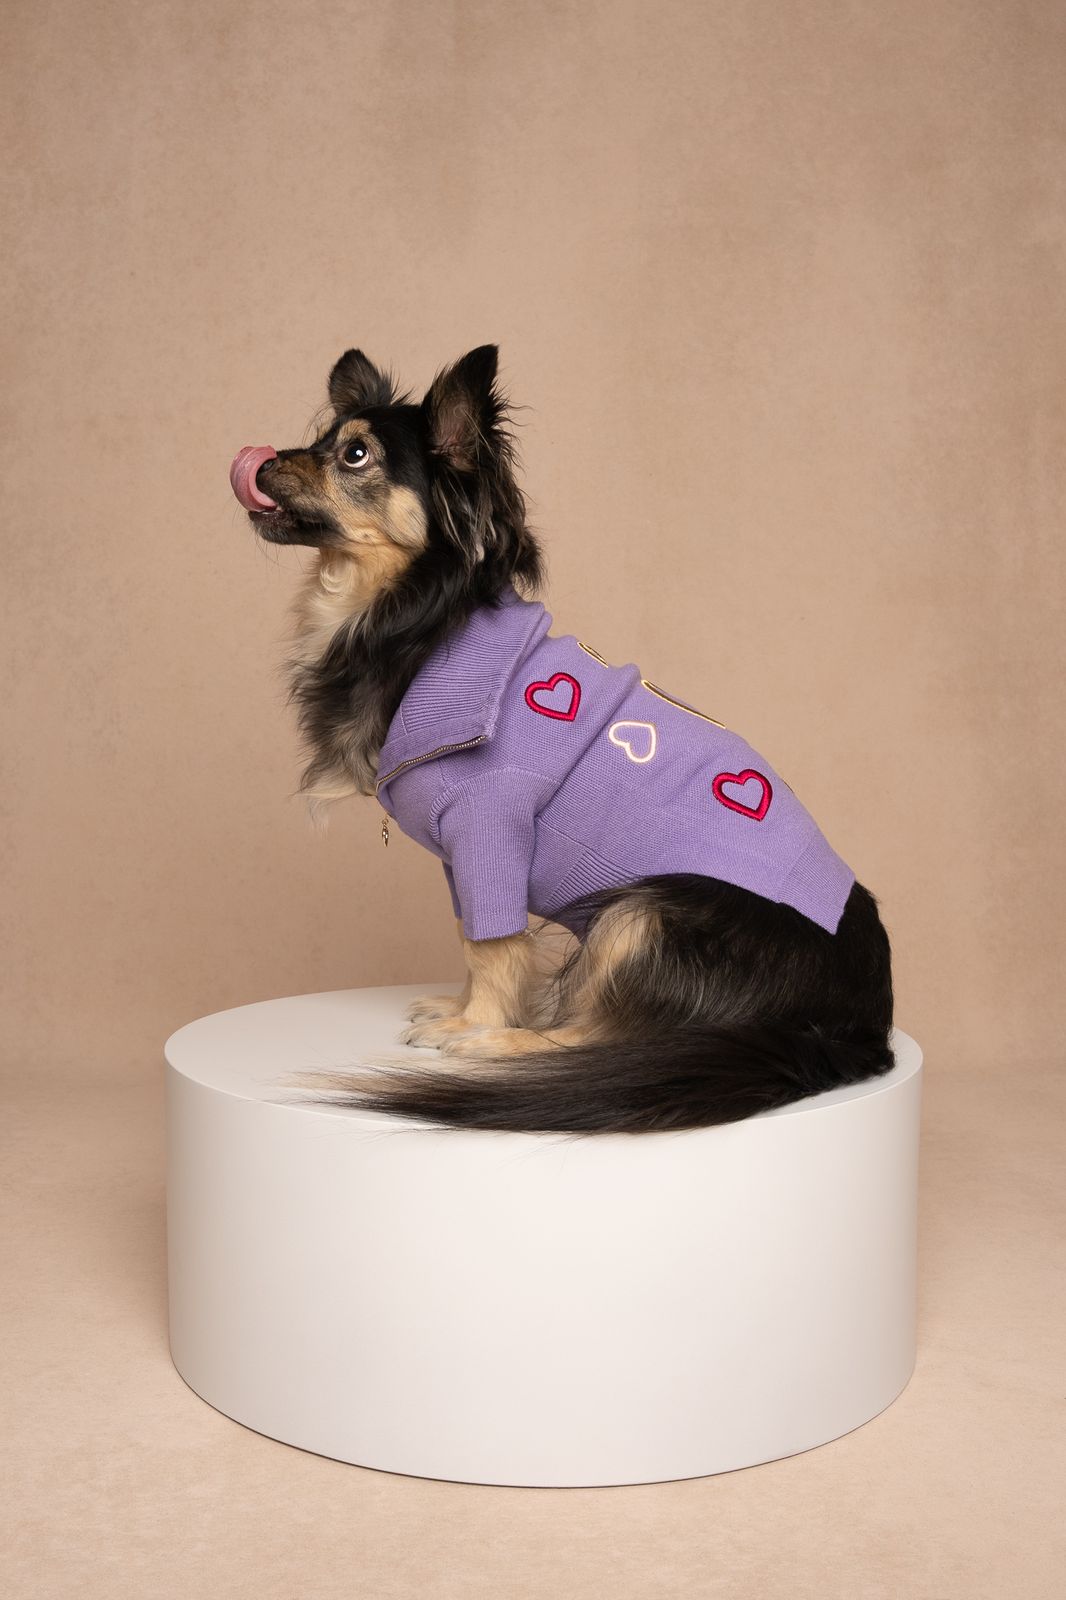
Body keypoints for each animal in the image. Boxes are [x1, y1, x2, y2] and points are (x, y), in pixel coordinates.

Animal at [229, 344, 894, 1133]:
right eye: (321, 438)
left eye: (354, 454)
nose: (263, 461)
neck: (415, 622)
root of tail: (860, 1023)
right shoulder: (468, 861)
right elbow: (482, 940)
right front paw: (459, 1007)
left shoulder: (491, 829)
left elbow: (491, 945)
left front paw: (475, 1025)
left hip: (640, 913)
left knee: (606, 1039)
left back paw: (512, 1047)